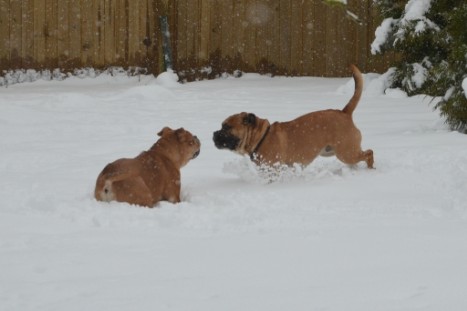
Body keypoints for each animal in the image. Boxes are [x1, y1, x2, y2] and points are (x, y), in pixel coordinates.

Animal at [214, 64, 374, 169]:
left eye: (227, 127)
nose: (214, 134)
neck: (260, 138)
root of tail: (345, 112)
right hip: (333, 152)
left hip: (346, 152)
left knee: (369, 153)